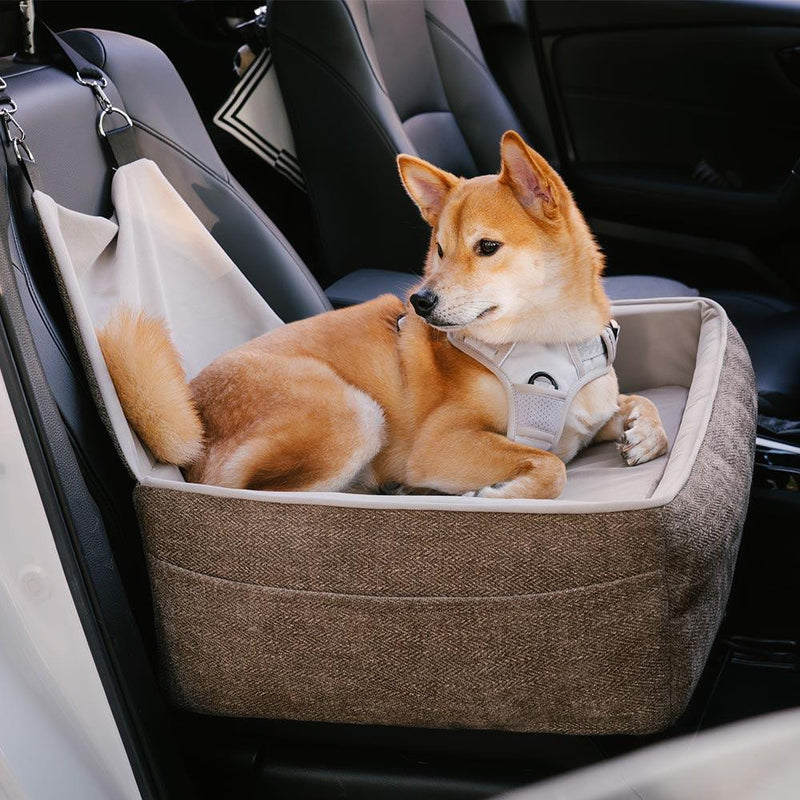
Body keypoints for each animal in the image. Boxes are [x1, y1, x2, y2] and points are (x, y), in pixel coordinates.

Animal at [100, 131, 668, 496]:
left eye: (486, 247)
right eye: (439, 249)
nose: (421, 301)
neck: (551, 344)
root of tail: (195, 412)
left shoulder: (590, 414)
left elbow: (641, 406)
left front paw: (643, 433)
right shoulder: (442, 442)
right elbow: (551, 465)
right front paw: (498, 493)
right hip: (355, 414)